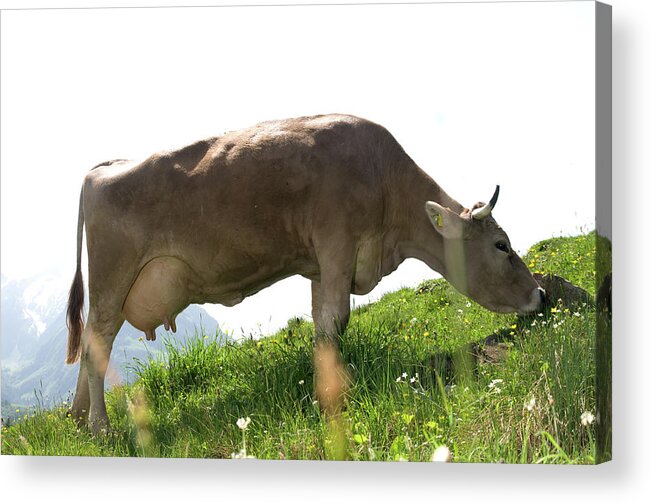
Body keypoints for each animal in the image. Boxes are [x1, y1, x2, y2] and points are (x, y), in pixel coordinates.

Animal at [66, 114, 544, 434]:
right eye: (501, 245)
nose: (540, 294)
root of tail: (100, 169)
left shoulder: (320, 263)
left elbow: (321, 323)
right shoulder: (337, 244)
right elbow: (336, 320)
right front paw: (332, 396)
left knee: (92, 344)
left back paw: (78, 419)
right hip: (112, 277)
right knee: (95, 346)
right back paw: (101, 428)